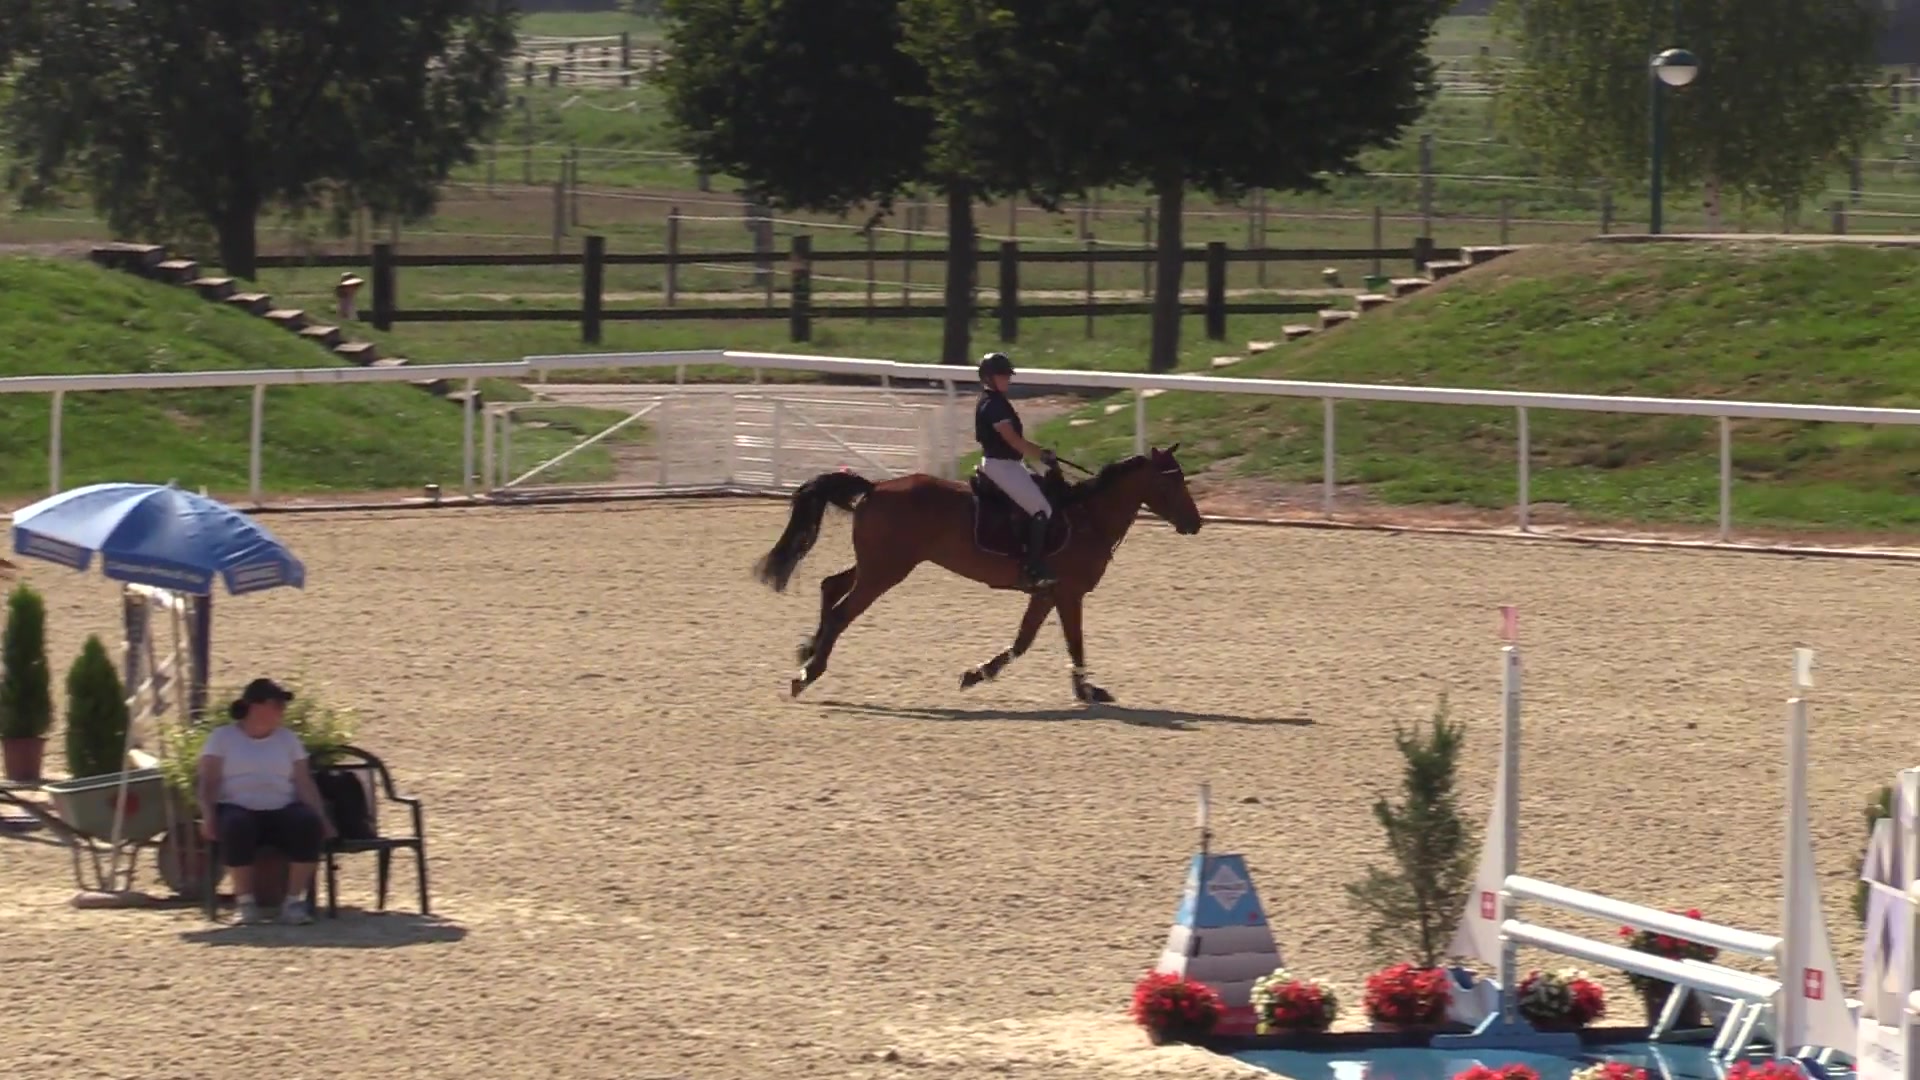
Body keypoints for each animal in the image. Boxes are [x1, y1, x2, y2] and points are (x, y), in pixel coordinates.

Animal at [752, 444, 1204, 703]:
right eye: (1172, 482)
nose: (1196, 524)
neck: (1088, 517)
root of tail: (876, 488)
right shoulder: (1069, 593)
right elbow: (1074, 643)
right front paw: (1086, 689)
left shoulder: (1046, 593)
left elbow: (1023, 642)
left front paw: (977, 674)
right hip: (886, 571)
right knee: (842, 612)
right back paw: (808, 674)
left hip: (878, 565)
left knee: (832, 586)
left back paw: (808, 649)